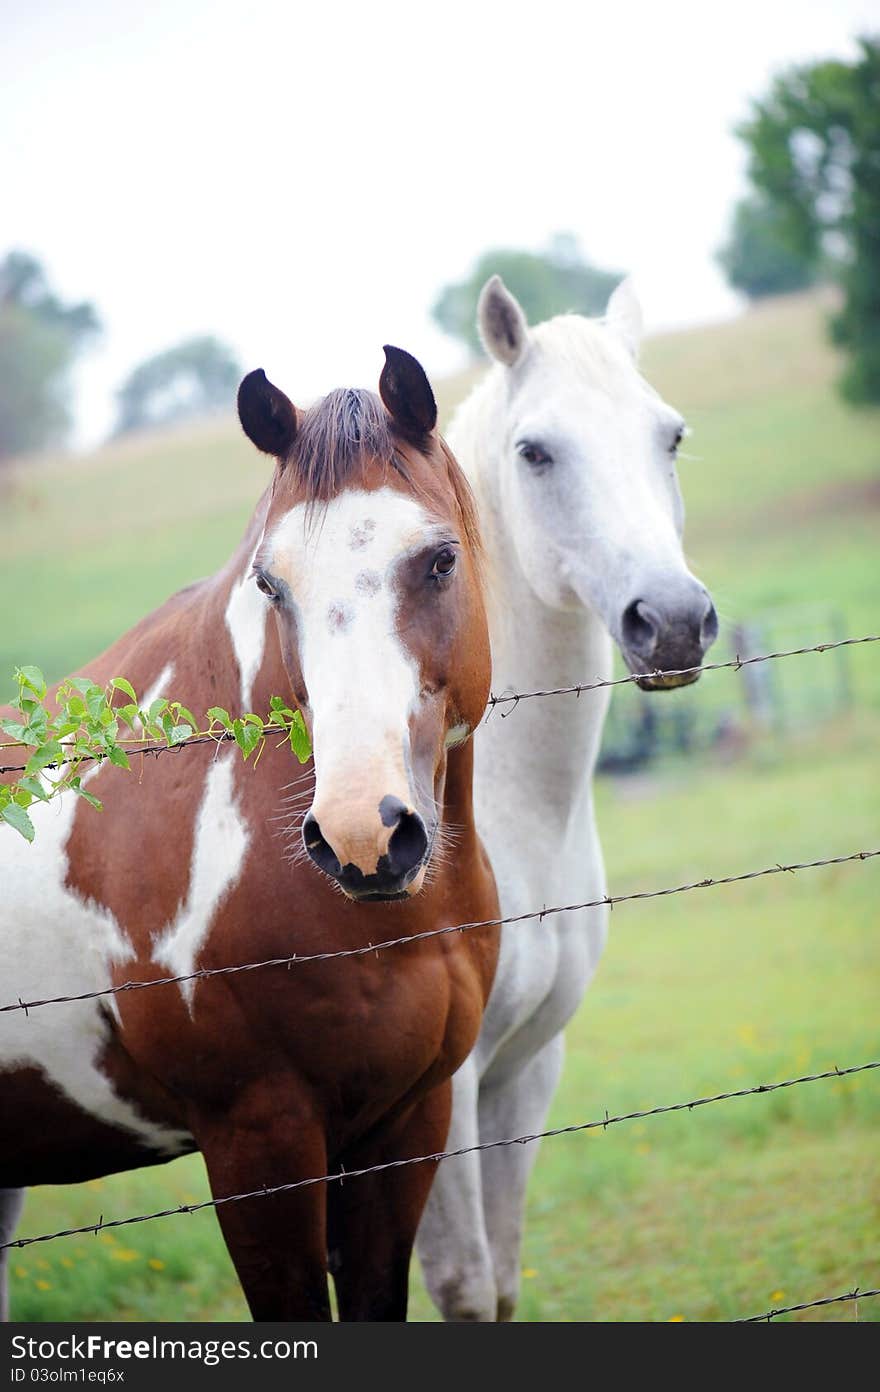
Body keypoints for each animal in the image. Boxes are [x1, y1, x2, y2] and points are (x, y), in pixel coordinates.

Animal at [414, 271, 718, 1314]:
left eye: (672, 436)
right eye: (534, 451)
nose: (673, 621)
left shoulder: (525, 1072)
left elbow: (503, 1279)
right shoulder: (437, 1100)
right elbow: (465, 1286)